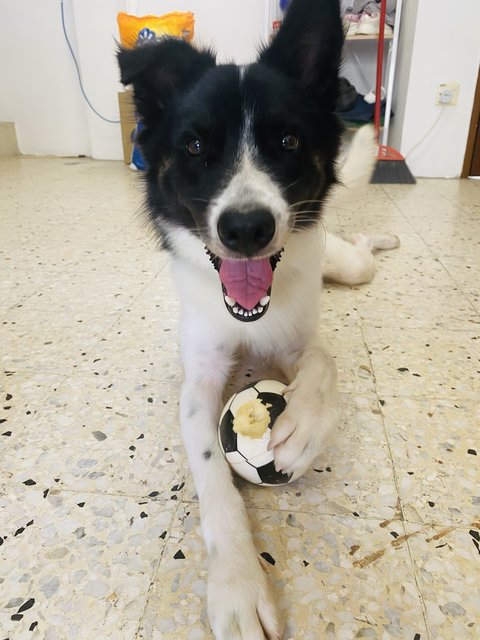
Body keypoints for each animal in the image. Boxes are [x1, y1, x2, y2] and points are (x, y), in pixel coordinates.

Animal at [119, 2, 398, 636]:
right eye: (195, 146)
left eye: (288, 140)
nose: (246, 229)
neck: (247, 317)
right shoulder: (198, 381)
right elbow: (212, 477)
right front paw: (239, 587)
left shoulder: (297, 338)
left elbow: (324, 361)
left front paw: (302, 429)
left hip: (347, 267)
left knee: (361, 252)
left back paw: (382, 239)